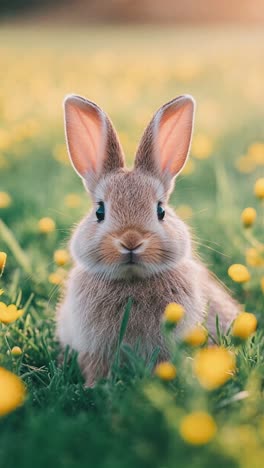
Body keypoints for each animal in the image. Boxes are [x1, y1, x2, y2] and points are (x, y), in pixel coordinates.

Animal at [56, 93, 240, 386]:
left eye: (160, 210)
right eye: (100, 211)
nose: (131, 240)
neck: (132, 280)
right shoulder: (94, 348)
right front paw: (94, 388)